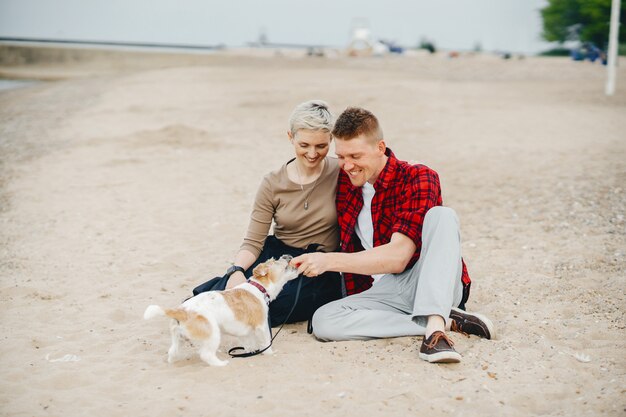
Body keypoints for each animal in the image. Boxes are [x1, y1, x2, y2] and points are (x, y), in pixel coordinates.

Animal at [143, 255, 298, 366]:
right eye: (277, 261)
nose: (286, 255)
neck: (258, 287)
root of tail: (182, 311)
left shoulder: (244, 332)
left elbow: (248, 344)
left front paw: (250, 352)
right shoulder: (261, 326)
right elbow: (266, 343)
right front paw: (270, 353)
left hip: (178, 339)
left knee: (172, 352)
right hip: (213, 335)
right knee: (206, 355)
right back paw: (221, 364)